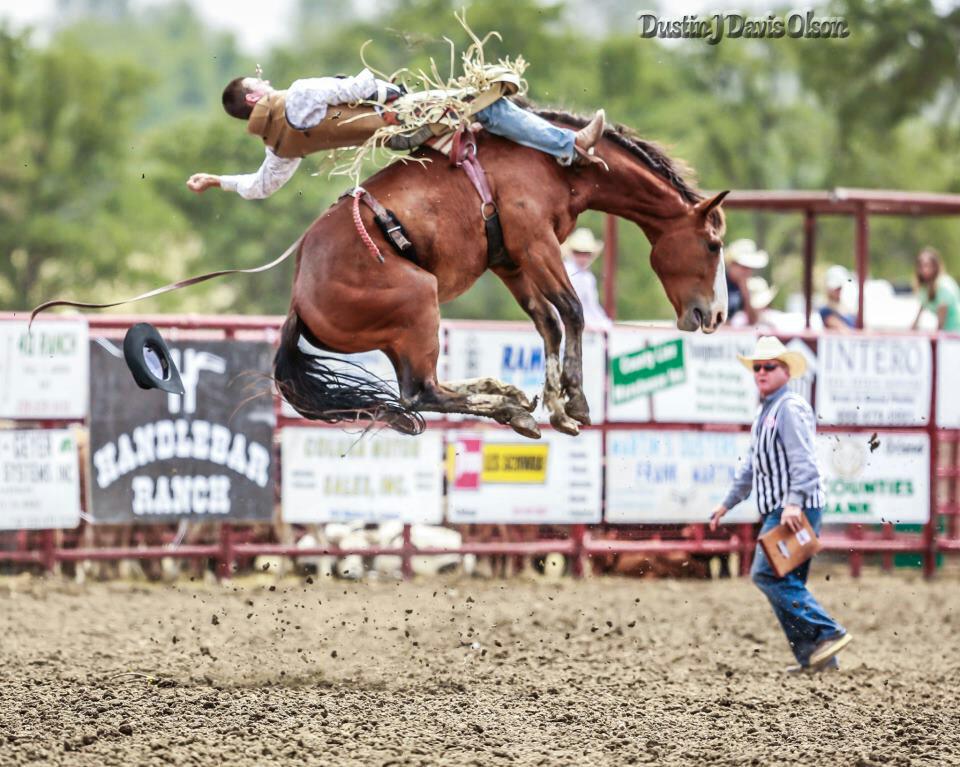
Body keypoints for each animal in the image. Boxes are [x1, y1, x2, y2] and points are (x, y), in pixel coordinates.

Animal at [276, 111, 728, 440]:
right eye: (713, 244)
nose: (716, 315)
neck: (557, 168)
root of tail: (298, 300)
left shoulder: (510, 261)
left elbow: (548, 322)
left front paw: (557, 407)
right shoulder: (536, 243)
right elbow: (573, 311)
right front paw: (577, 401)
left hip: (397, 337)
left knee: (422, 389)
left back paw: (509, 396)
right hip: (420, 301)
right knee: (422, 393)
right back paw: (510, 408)